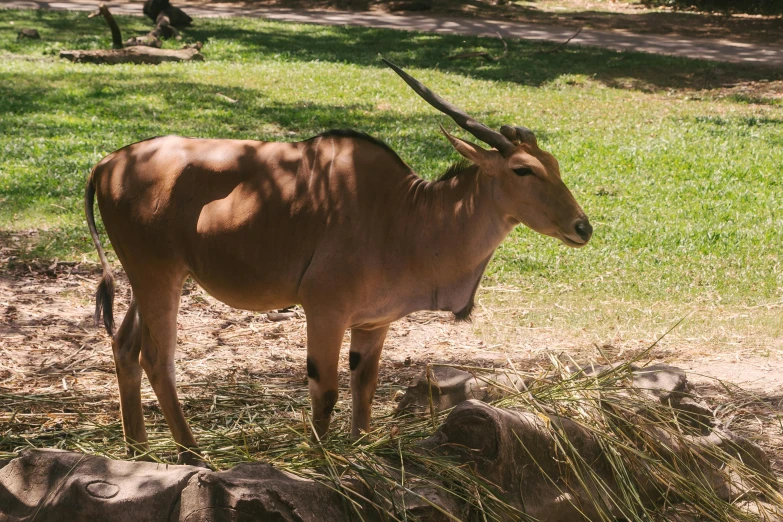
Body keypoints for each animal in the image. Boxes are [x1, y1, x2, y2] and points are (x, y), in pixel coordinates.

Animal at [86, 61, 592, 464]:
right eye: (523, 169)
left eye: (554, 163)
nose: (582, 227)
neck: (405, 213)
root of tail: (108, 163)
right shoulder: (324, 311)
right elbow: (325, 391)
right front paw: (318, 460)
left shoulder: (373, 323)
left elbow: (363, 389)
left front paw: (362, 450)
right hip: (159, 276)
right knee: (157, 358)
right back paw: (193, 454)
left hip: (148, 279)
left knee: (125, 347)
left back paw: (137, 450)